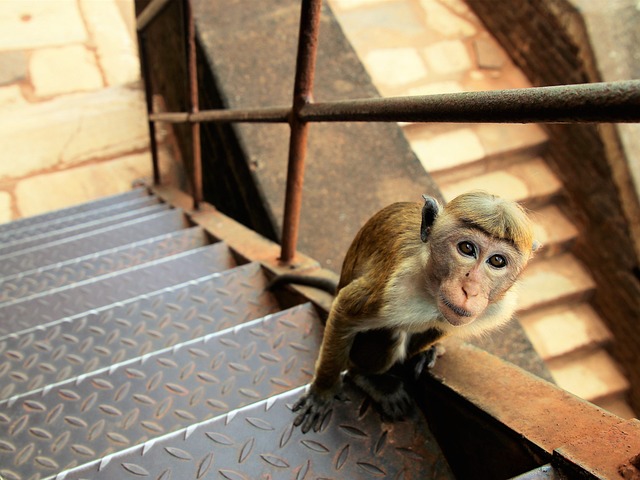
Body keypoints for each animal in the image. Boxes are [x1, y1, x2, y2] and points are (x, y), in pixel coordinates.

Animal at [292, 192, 536, 436]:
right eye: (467, 248)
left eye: (497, 261)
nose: (471, 289)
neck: (431, 285)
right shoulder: (394, 289)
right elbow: (344, 310)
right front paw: (323, 391)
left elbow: (442, 326)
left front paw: (425, 352)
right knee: (390, 333)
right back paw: (367, 376)